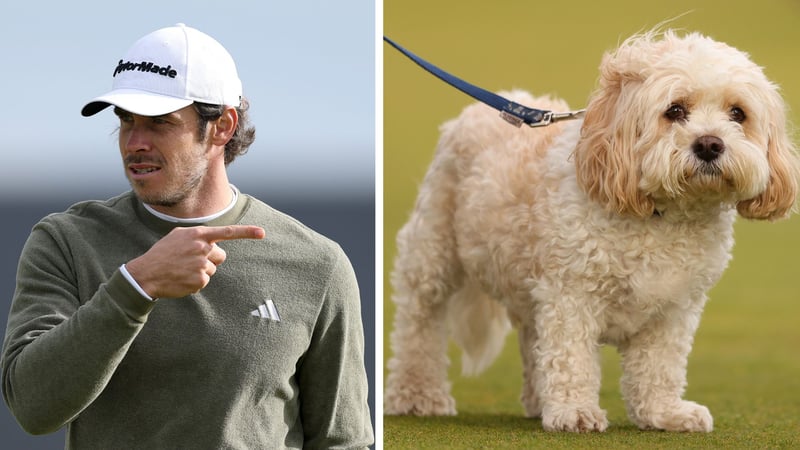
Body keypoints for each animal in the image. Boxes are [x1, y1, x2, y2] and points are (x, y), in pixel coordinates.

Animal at [384, 30, 796, 432]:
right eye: (675, 110)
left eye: (738, 114)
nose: (709, 144)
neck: (663, 216)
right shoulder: (571, 295)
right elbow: (571, 357)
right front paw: (574, 411)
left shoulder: (674, 309)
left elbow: (659, 366)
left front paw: (663, 413)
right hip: (433, 251)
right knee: (419, 321)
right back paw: (417, 395)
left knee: (532, 335)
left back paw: (537, 401)